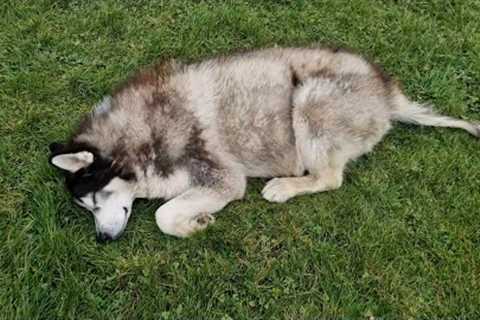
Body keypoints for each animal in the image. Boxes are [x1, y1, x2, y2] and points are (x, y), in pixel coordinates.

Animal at [47, 47, 476, 242]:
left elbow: (163, 216)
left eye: (94, 200)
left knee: (330, 177)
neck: (141, 139)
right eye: (85, 208)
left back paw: (284, 186)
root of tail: (388, 95)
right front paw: (196, 221)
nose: (102, 240)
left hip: (309, 99)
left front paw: (194, 224)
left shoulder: (223, 178)